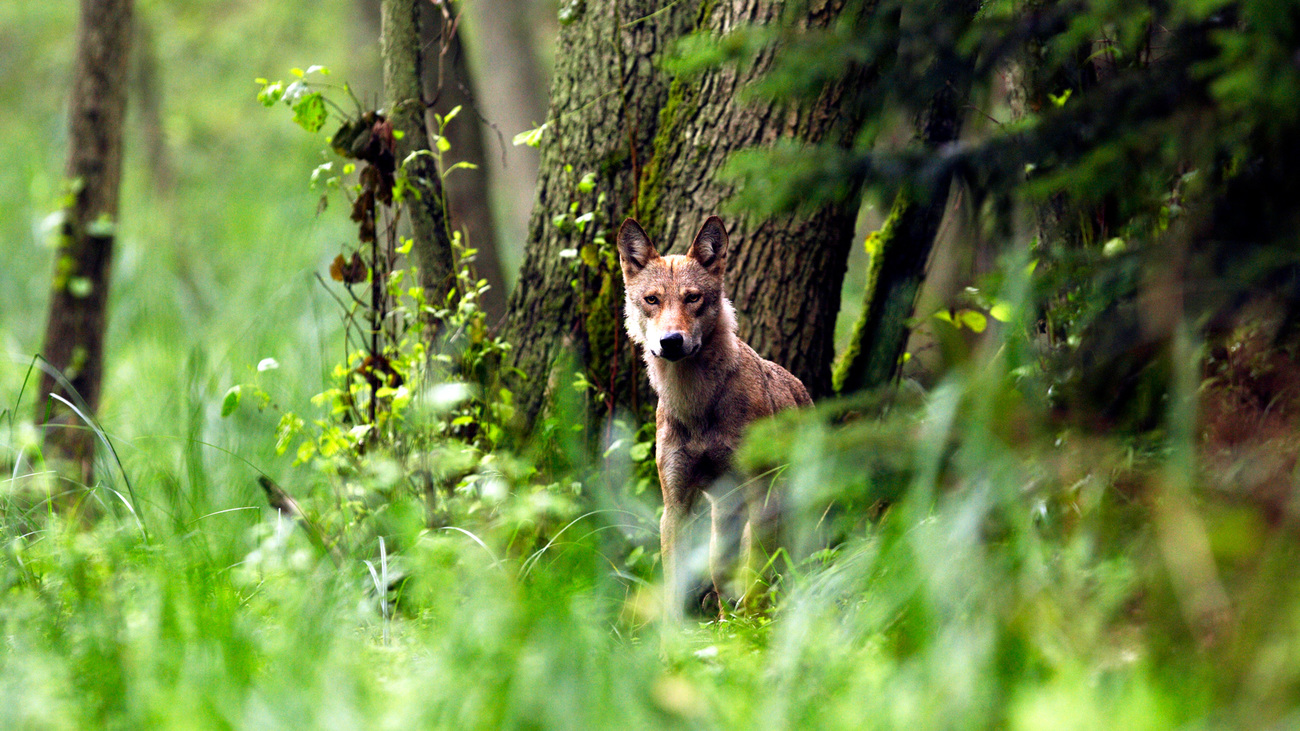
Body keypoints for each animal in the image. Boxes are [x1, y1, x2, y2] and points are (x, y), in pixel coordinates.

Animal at [613, 215, 806, 613]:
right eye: (652, 300)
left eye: (693, 298)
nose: (671, 341)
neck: (697, 405)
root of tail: (800, 387)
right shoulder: (675, 504)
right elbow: (674, 587)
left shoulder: (758, 495)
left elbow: (756, 577)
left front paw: (751, 628)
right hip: (723, 516)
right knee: (722, 574)